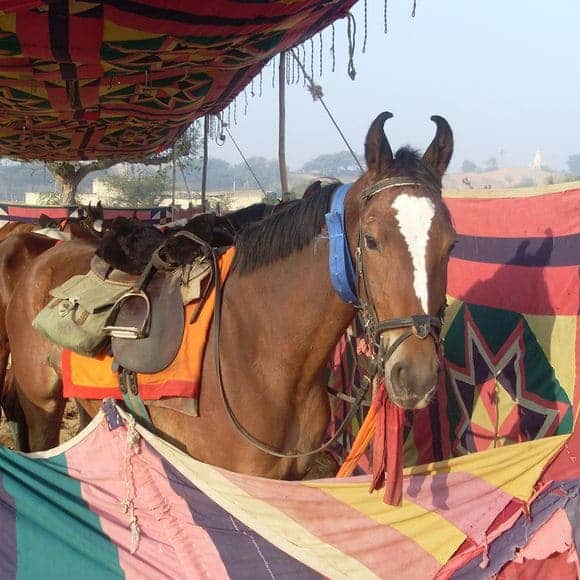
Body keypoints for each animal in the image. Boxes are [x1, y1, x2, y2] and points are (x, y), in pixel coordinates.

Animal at [6, 111, 456, 478]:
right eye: (372, 240)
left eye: (451, 244)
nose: (415, 376)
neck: (263, 354)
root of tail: (41, 256)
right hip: (42, 406)